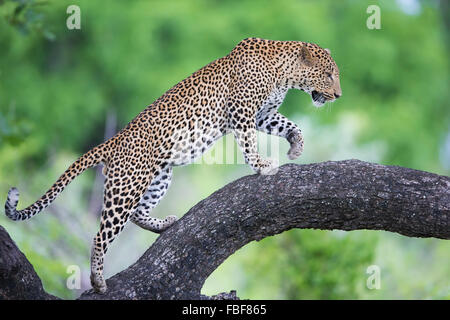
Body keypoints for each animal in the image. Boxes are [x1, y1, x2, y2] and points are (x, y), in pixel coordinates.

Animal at [3, 37, 342, 292]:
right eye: (329, 75)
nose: (338, 95)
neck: (284, 73)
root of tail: (114, 141)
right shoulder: (242, 112)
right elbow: (248, 143)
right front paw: (261, 164)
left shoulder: (262, 115)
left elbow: (289, 124)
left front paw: (296, 145)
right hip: (125, 187)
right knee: (102, 234)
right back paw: (98, 281)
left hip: (158, 177)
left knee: (138, 212)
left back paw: (163, 224)